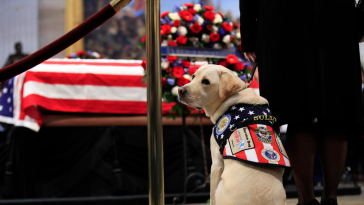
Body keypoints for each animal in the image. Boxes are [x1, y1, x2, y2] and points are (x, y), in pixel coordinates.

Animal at [178, 64, 288, 205]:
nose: (180, 90)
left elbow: (211, 197)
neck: (234, 99)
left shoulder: (216, 163)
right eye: (193, 76)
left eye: (206, 82)